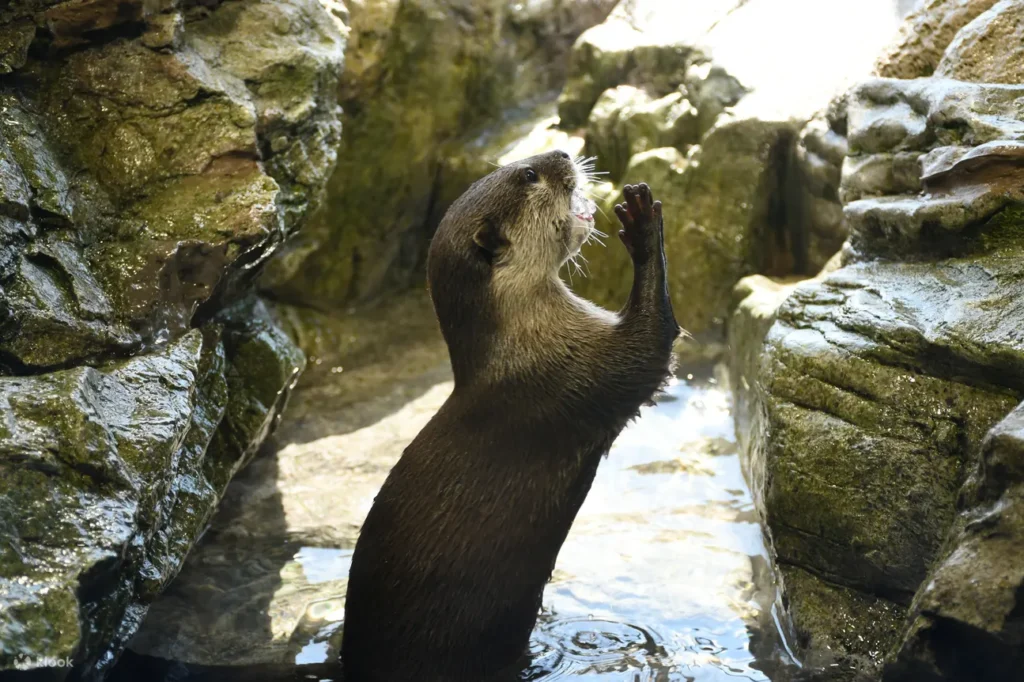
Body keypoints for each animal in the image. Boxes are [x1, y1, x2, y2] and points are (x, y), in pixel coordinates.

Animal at [342, 150, 679, 679]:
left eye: (520, 163)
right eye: (530, 175)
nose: (562, 153)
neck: (525, 344)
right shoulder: (577, 373)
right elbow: (650, 346)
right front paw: (642, 224)